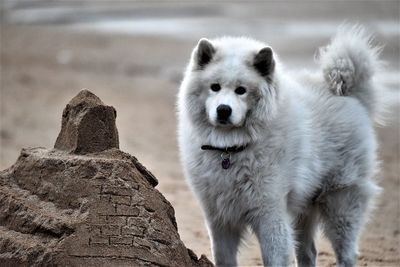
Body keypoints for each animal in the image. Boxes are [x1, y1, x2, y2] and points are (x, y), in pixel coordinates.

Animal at [177, 25, 382, 267]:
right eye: (214, 87)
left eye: (241, 90)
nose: (223, 110)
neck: (230, 150)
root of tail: (348, 94)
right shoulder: (220, 218)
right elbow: (224, 258)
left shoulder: (270, 214)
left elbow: (274, 257)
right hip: (305, 206)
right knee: (308, 252)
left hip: (341, 203)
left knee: (346, 252)